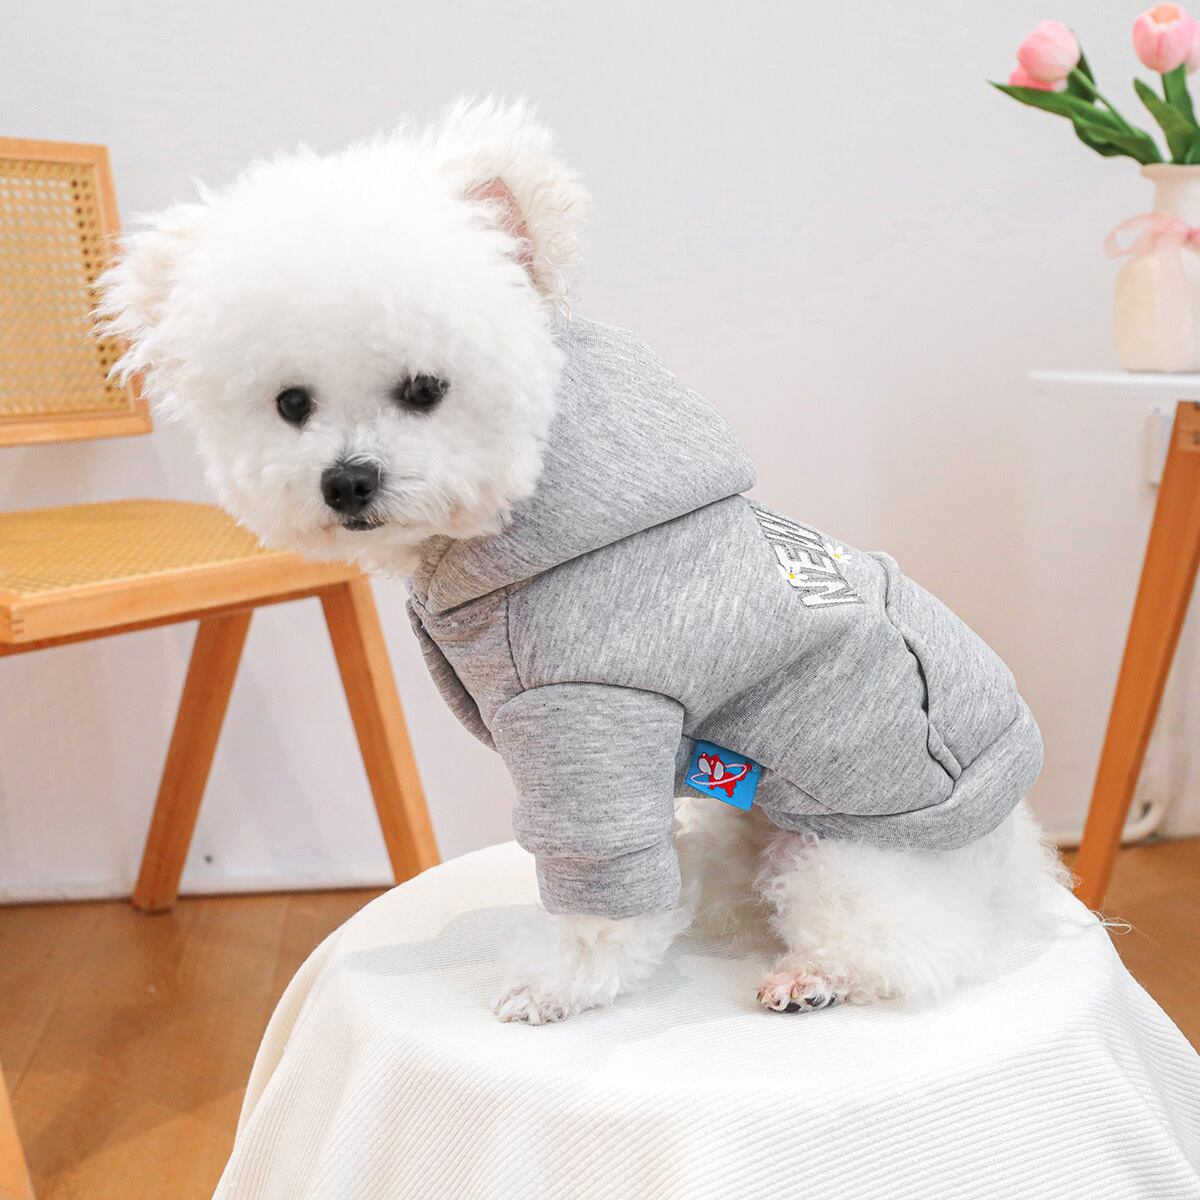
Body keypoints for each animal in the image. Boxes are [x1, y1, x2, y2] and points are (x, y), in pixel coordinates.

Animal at [99, 99, 1068, 1025]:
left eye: (424, 388)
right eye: (291, 404)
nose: (346, 479)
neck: (527, 516)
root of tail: (1015, 854)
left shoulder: (590, 712)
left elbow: (598, 874)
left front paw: (557, 981)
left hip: (850, 852)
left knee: (915, 942)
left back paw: (814, 974)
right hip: (742, 817)